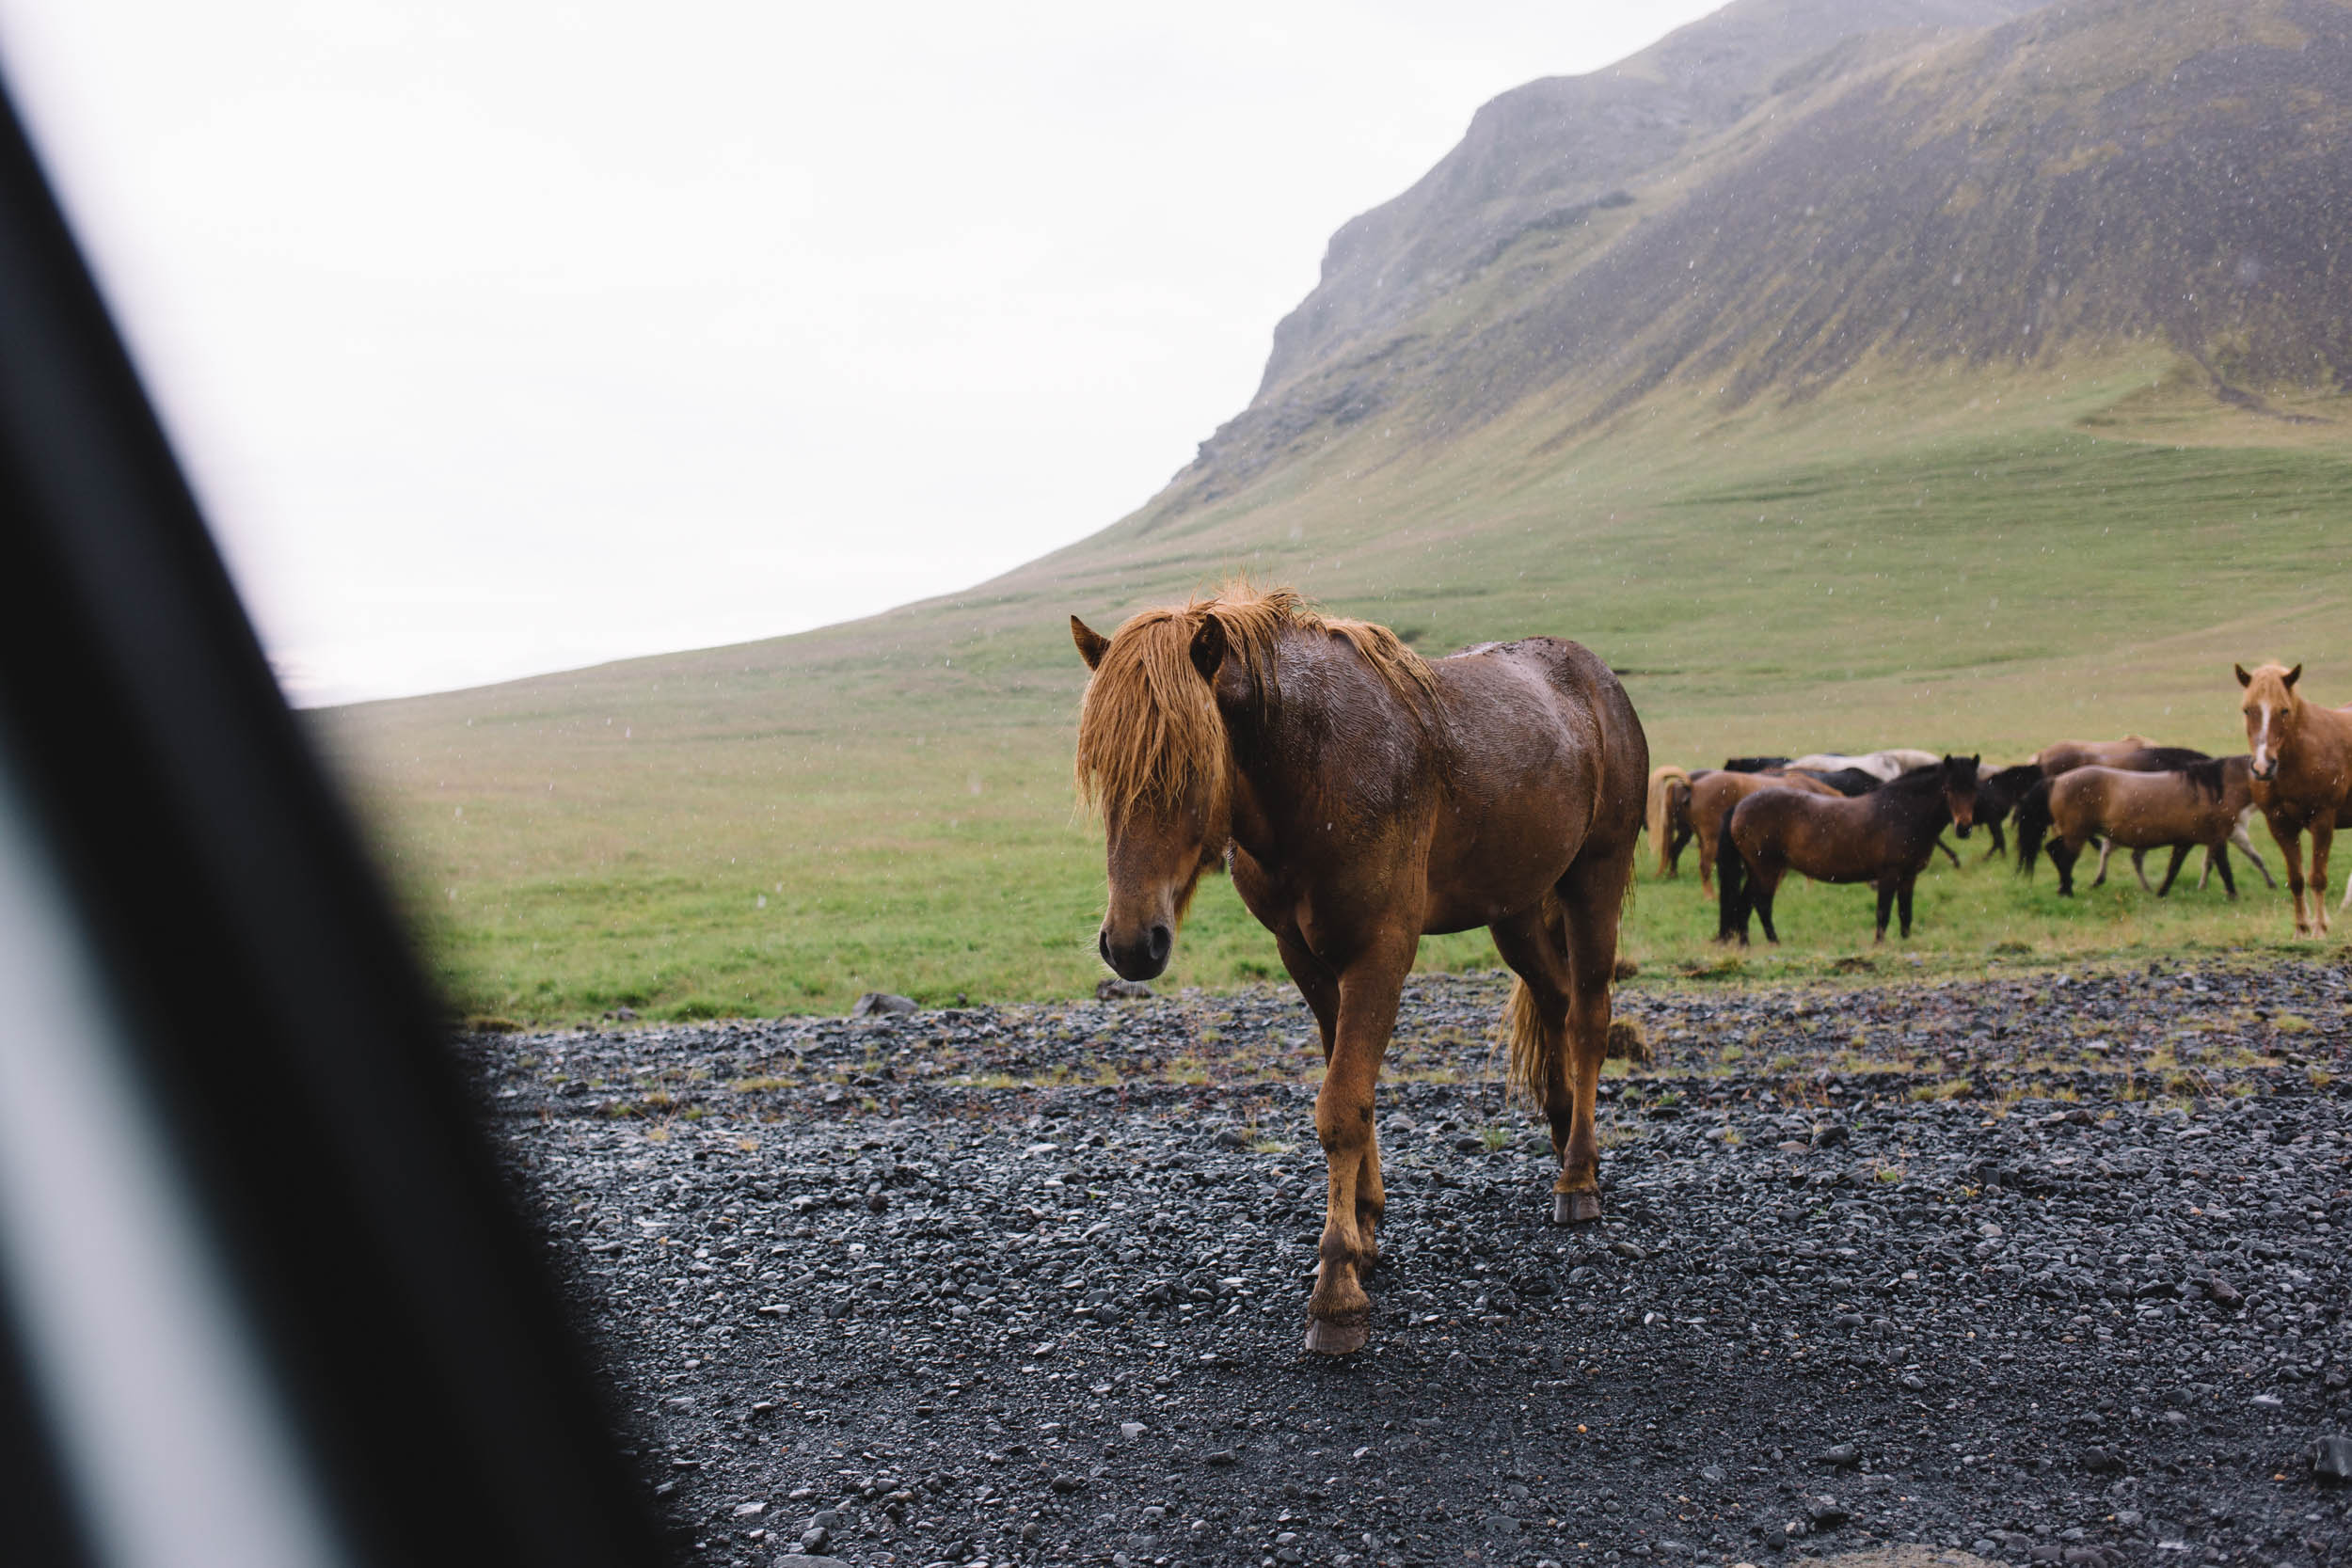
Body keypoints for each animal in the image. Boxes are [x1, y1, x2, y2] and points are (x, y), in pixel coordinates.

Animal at [1077, 582, 1646, 1354]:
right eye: (1100, 770)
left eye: (1188, 768)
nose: (1132, 943)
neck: (1316, 770)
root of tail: (1597, 676)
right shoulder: (1305, 957)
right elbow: (1352, 1091)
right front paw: (1368, 1225)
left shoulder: (1381, 953)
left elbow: (1342, 1106)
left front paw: (1338, 1286)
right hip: (1517, 908)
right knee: (1555, 1001)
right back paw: (1564, 1137)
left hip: (1595, 879)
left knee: (1588, 1016)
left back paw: (1580, 1176)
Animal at [1722, 756, 1976, 944]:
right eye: (1949, 788)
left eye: (1974, 788)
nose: (1964, 828)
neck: (1902, 811)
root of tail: (1739, 805)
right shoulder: (1889, 874)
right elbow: (1883, 912)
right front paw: (1879, 945)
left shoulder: (1908, 876)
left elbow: (1905, 912)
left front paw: (1906, 942)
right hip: (1767, 869)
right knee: (1762, 904)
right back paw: (1774, 942)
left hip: (1757, 870)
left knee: (1745, 904)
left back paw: (1745, 944)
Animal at [2023, 756, 2258, 893]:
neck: (2210, 790)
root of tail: (2056, 780)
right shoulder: (2215, 838)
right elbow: (2224, 868)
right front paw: (2233, 895)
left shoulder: (2188, 841)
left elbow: (2174, 868)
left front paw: (2161, 892)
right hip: (2076, 834)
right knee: (2065, 857)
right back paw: (2068, 889)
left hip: (2073, 833)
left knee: (2053, 850)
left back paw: (2067, 886)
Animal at [2239, 657, 2352, 930]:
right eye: (2247, 710)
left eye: (2284, 711)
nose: (2263, 767)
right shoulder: (2279, 823)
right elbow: (2296, 878)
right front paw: (2302, 928)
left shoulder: (2323, 819)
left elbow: (2317, 877)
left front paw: (2320, 928)